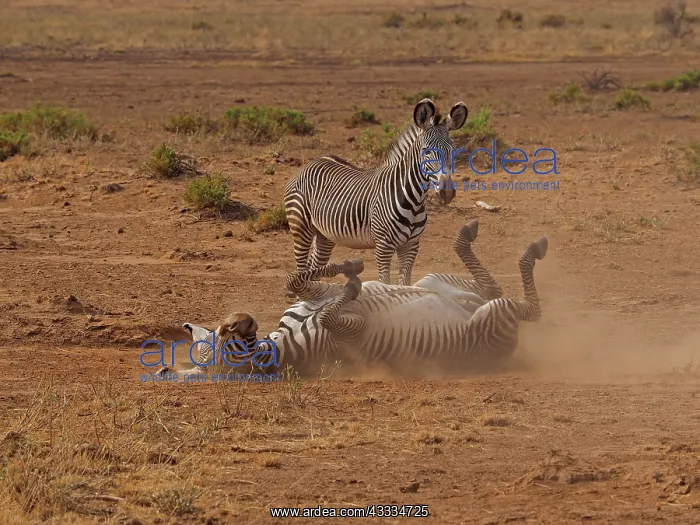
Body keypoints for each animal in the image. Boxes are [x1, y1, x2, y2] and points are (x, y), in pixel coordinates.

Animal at [156, 220, 548, 378]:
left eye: (222, 332)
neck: (283, 343)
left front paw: (351, 266)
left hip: (433, 281)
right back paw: (531, 253)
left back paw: (469, 237)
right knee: (526, 308)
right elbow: (331, 314)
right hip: (492, 318)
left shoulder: (311, 295)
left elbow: (297, 278)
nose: (242, 319)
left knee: (490, 290)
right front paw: (352, 287)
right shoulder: (350, 332)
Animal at [284, 98, 468, 287]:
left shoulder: (411, 246)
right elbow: (385, 283)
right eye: (427, 152)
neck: (414, 201)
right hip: (300, 226)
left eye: (453, 151)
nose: (447, 193)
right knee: (301, 269)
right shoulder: (383, 246)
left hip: (324, 234)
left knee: (314, 268)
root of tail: (312, 162)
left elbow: (405, 283)